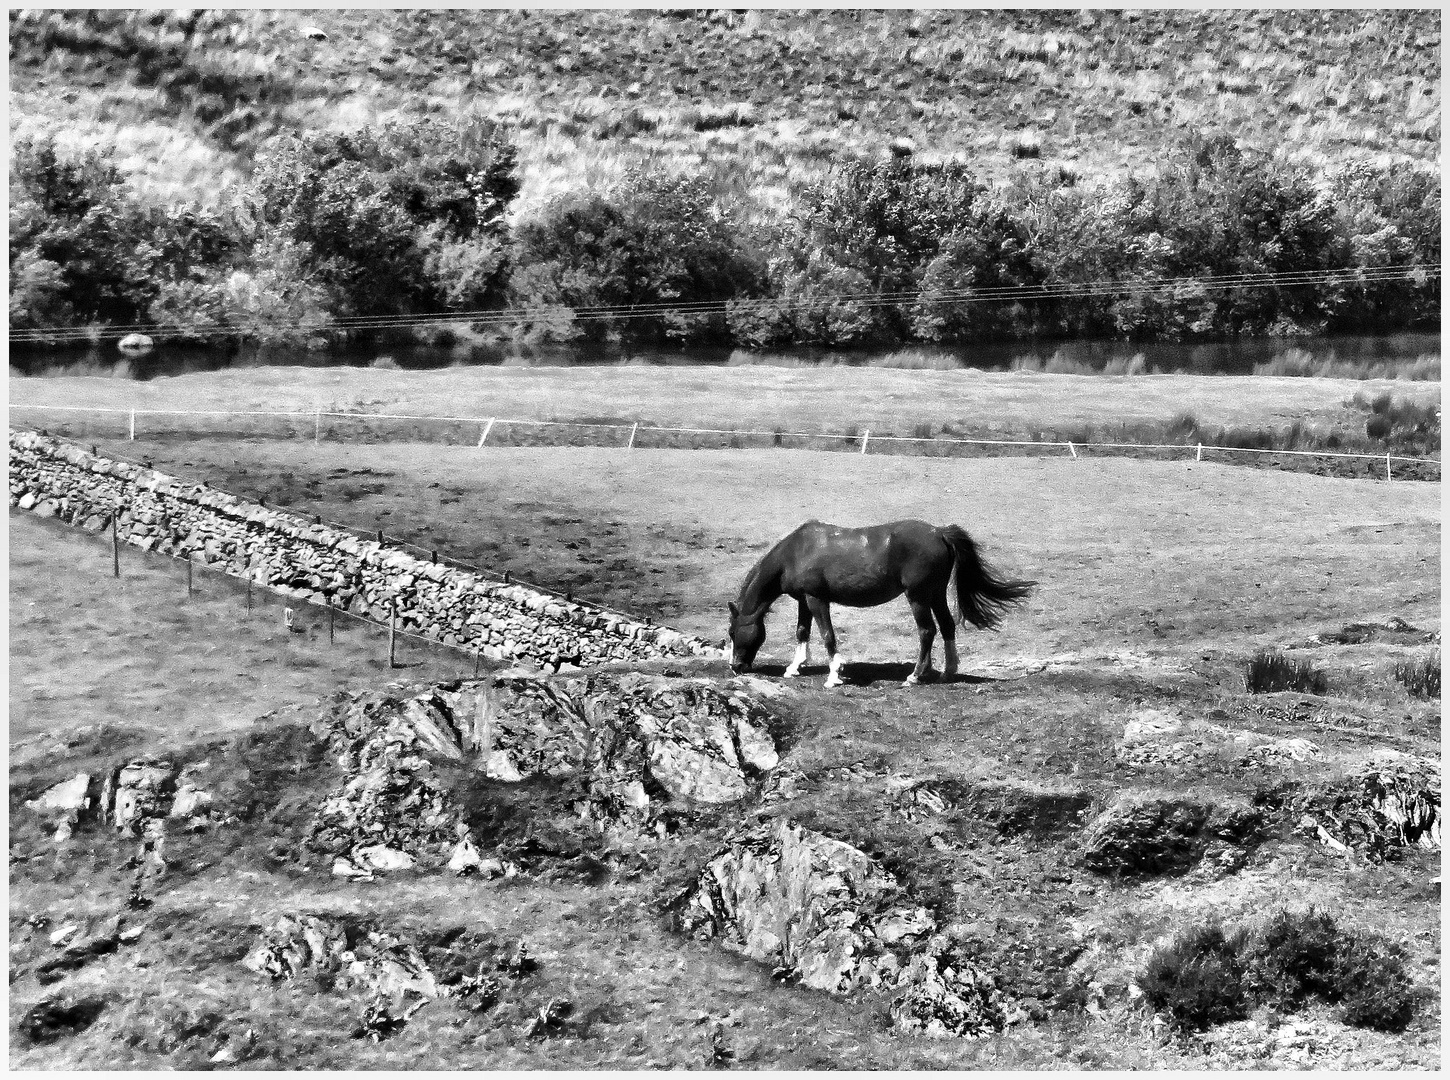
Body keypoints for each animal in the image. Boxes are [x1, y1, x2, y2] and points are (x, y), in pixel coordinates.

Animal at [730, 518, 1038, 687]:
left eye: (733, 633)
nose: (735, 666)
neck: (796, 551)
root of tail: (939, 532)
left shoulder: (817, 600)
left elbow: (828, 635)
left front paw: (834, 675)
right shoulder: (804, 601)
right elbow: (802, 632)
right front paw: (794, 668)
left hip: (918, 597)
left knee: (927, 631)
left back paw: (915, 675)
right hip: (935, 594)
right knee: (947, 626)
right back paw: (946, 672)